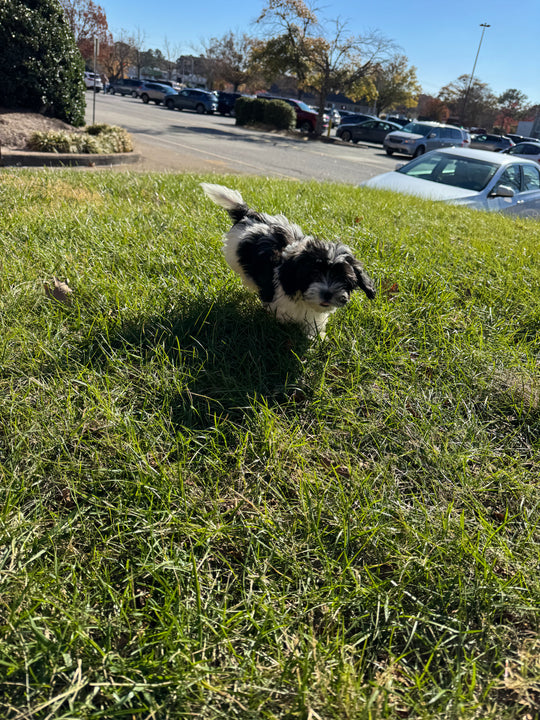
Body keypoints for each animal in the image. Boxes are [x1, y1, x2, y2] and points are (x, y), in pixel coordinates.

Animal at [201, 183, 376, 334]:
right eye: (314, 274)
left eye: (342, 278)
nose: (327, 293)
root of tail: (250, 215)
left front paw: (314, 335)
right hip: (233, 253)